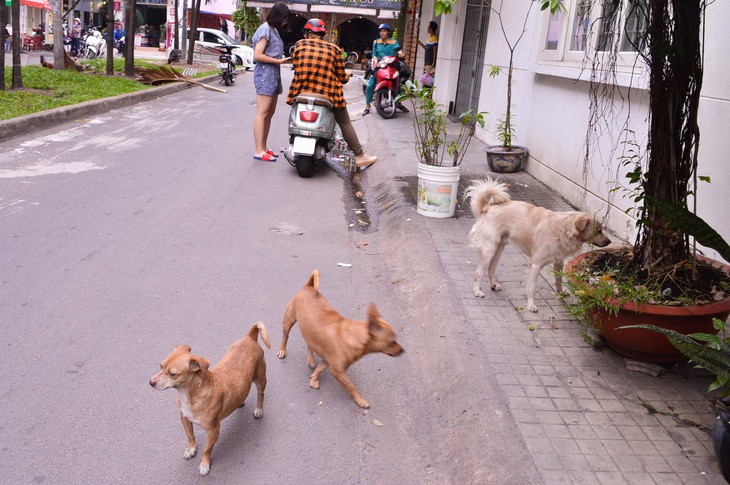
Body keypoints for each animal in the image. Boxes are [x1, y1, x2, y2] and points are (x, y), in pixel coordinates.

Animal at [148, 320, 270, 474]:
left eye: (172, 373)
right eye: (160, 366)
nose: (150, 382)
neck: (191, 395)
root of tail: (250, 337)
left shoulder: (213, 431)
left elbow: (206, 449)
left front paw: (204, 464)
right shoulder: (185, 419)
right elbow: (190, 436)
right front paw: (191, 449)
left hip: (260, 379)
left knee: (261, 394)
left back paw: (259, 410)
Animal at [278, 268, 404, 408]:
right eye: (392, 341)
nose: (402, 350)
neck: (353, 337)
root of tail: (309, 286)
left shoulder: (328, 361)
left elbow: (319, 368)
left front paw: (314, 378)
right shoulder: (338, 372)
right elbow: (351, 386)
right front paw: (360, 401)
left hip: (308, 331)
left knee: (309, 343)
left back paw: (310, 359)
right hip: (289, 320)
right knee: (285, 336)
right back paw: (282, 350)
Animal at [464, 178, 612, 310]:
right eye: (598, 231)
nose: (609, 242)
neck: (562, 229)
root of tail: (487, 208)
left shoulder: (558, 262)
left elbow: (558, 281)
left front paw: (560, 293)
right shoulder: (535, 265)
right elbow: (532, 288)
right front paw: (531, 305)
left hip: (499, 248)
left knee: (491, 269)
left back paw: (493, 285)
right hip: (490, 250)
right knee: (479, 271)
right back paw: (477, 291)